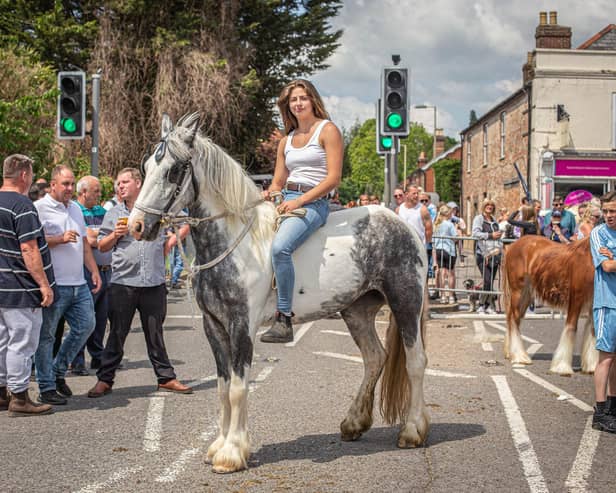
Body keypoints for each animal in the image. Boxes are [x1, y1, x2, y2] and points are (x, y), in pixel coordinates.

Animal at [130, 112, 428, 472]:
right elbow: (222, 387)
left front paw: (232, 453)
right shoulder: (213, 325)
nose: (136, 227)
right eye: (147, 166)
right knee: (374, 358)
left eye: (173, 170)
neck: (234, 244)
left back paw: (412, 432)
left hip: (406, 302)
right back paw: (353, 423)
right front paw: (219, 446)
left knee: (415, 362)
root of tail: (403, 225)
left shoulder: (241, 325)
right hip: (356, 310)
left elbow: (238, 387)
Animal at [506, 234, 596, 372]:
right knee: (513, 318)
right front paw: (562, 367)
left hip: (527, 295)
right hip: (518, 291)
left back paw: (510, 352)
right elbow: (571, 327)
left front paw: (592, 366)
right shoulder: (576, 299)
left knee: (514, 318)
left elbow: (593, 331)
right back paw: (520, 356)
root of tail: (511, 246)